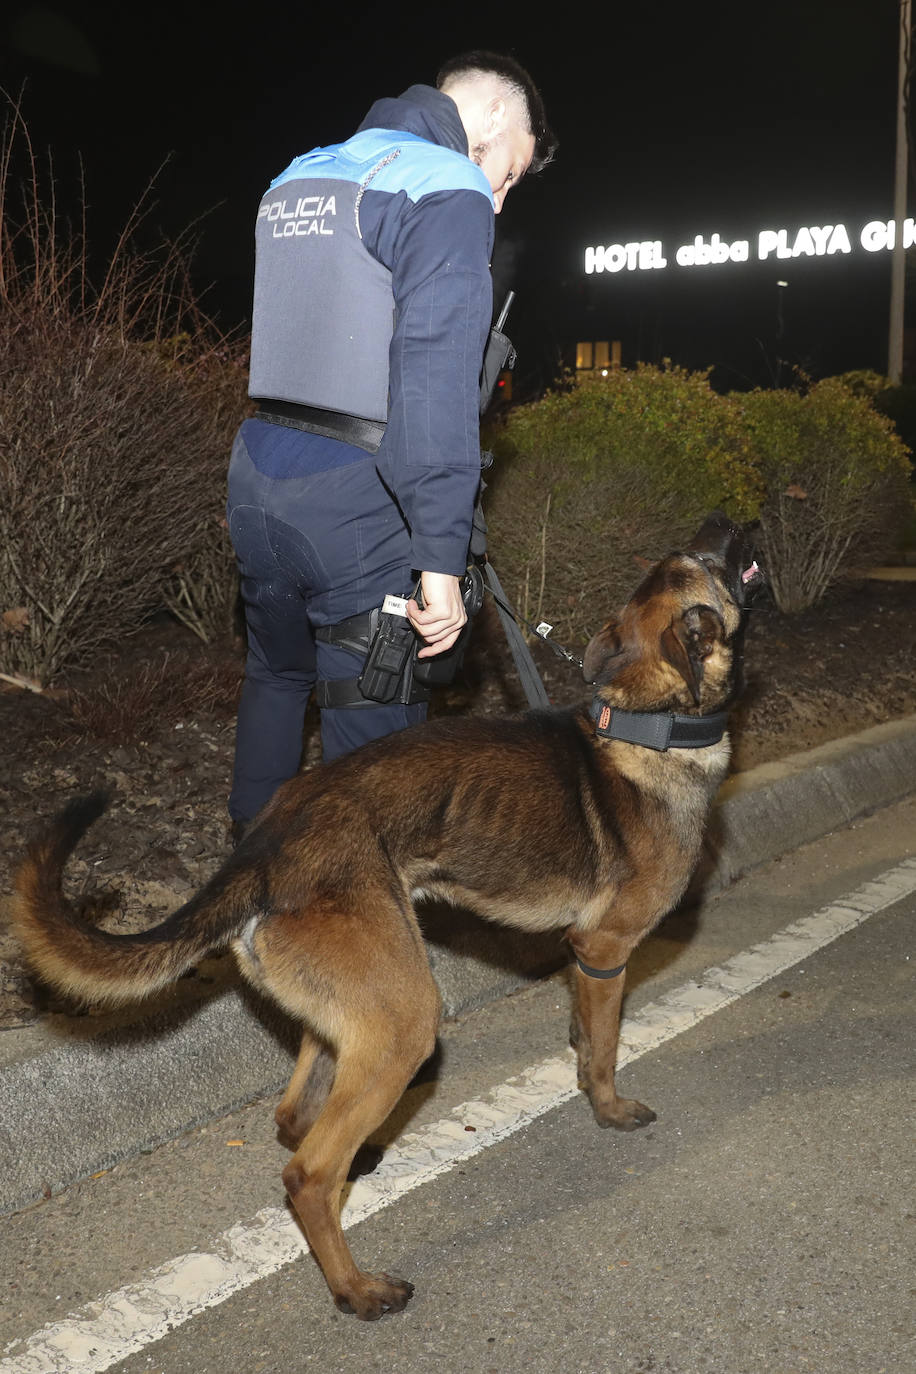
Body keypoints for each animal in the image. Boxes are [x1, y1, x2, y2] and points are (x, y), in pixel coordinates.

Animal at [10, 513, 763, 1319]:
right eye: (708, 560)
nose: (733, 520)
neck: (649, 722)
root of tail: (267, 846)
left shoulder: (586, 958)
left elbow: (588, 1032)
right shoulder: (606, 944)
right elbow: (605, 1050)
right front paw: (609, 1107)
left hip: (353, 1012)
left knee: (295, 1119)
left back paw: (360, 1167)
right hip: (404, 1019)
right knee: (308, 1175)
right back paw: (356, 1288)